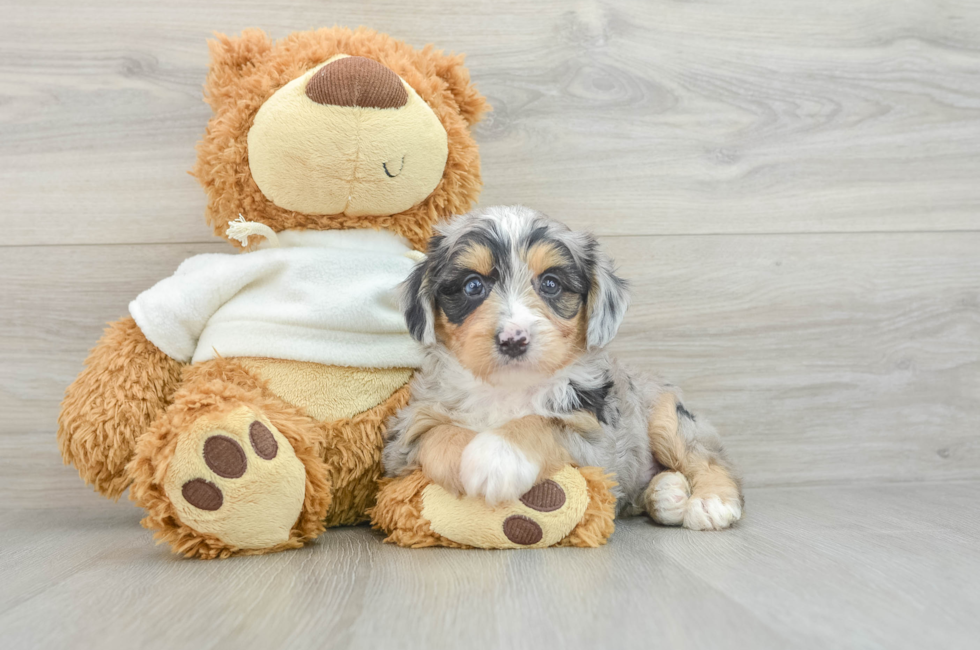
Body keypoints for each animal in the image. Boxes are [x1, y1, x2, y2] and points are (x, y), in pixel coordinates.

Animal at [382, 205, 744, 528]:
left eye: (551, 284)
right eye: (473, 285)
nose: (514, 339)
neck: (508, 389)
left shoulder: (597, 445)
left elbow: (544, 422)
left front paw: (497, 457)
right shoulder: (403, 439)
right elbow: (438, 431)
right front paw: (467, 460)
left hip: (669, 417)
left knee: (709, 459)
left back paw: (711, 501)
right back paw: (666, 493)